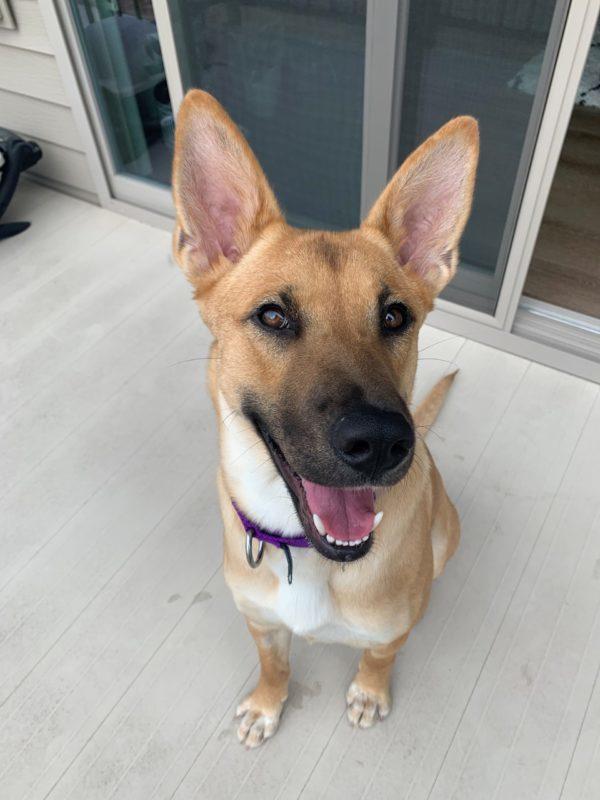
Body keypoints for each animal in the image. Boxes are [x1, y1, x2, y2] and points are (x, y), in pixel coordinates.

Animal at [170, 90, 478, 748]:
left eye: (394, 316)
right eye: (272, 316)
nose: (382, 442)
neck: (305, 551)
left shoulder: (391, 631)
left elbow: (378, 658)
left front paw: (369, 691)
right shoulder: (260, 623)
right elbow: (274, 665)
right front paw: (268, 704)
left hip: (446, 534)